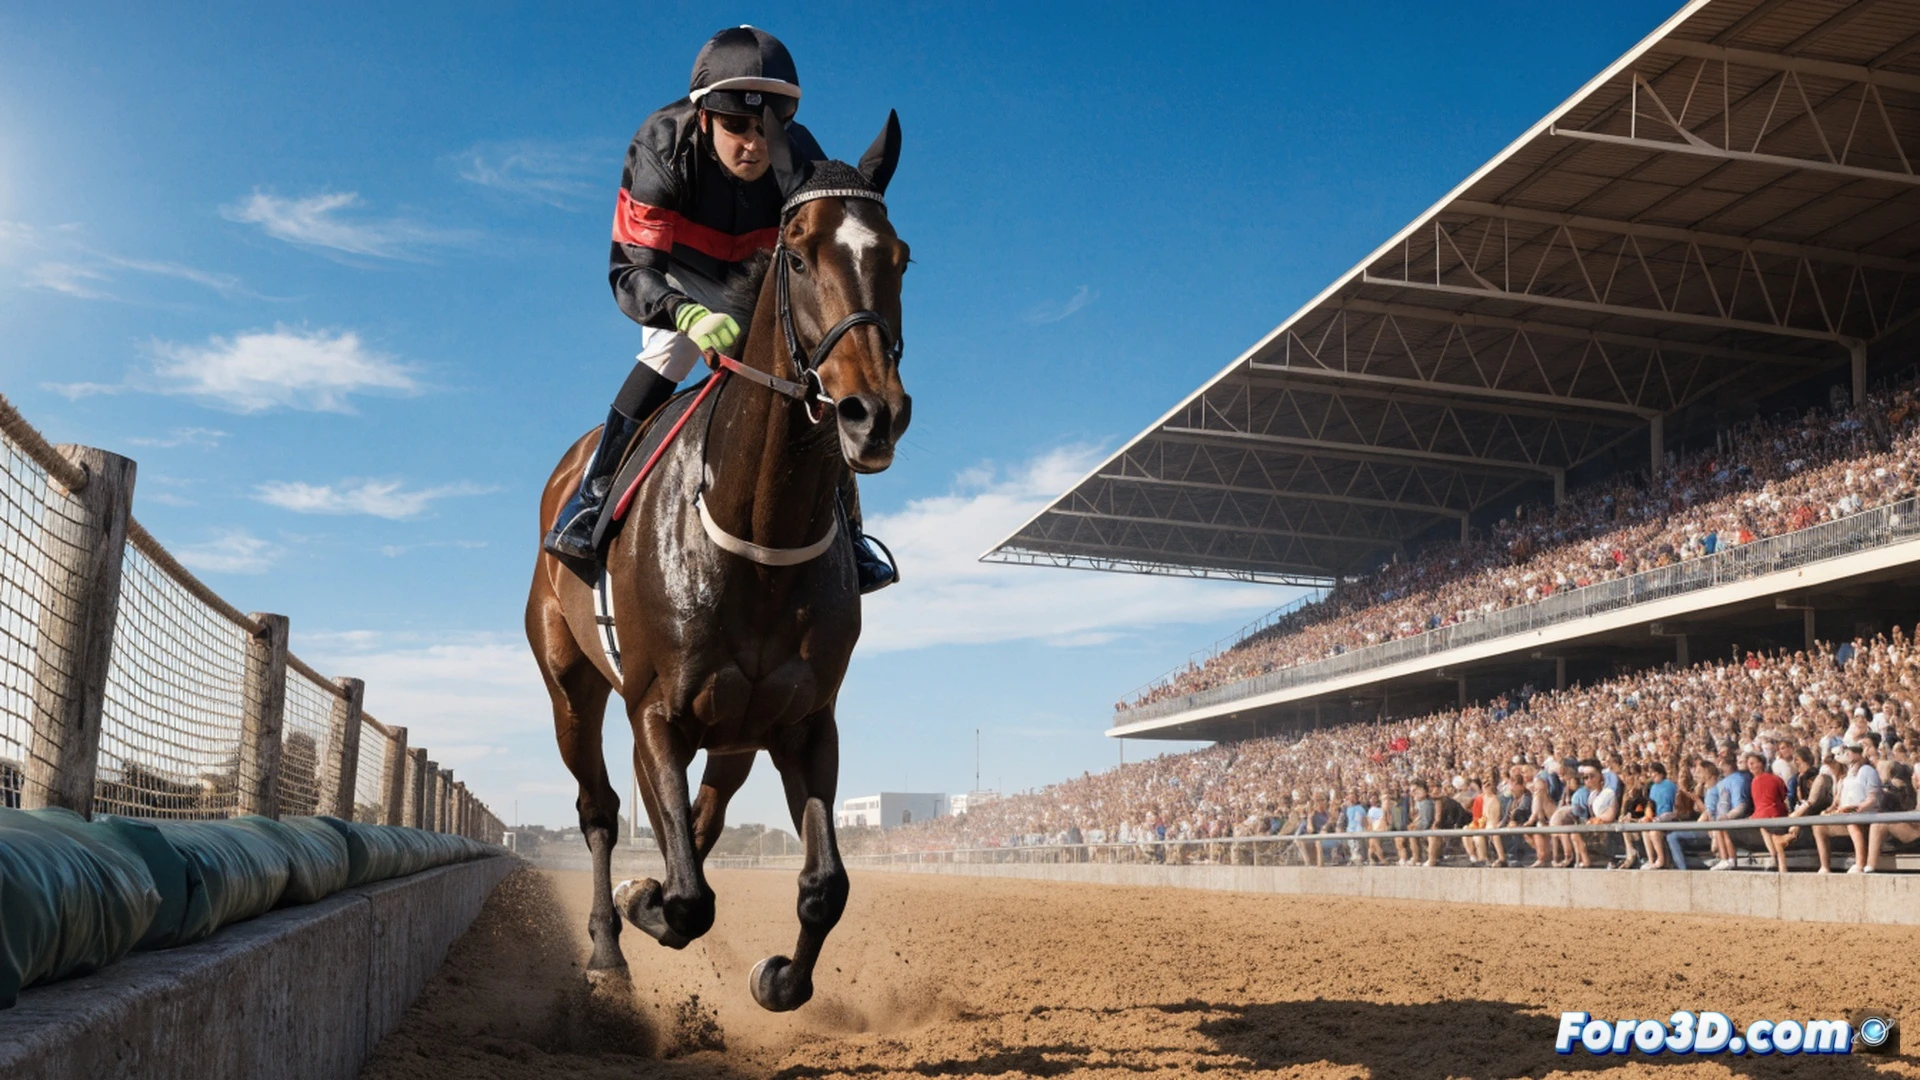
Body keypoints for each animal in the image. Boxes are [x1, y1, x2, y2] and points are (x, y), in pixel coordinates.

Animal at [525, 112, 908, 1013]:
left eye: (901, 256)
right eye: (797, 254)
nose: (872, 413)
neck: (757, 535)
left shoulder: (806, 719)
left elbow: (823, 885)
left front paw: (779, 979)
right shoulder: (655, 711)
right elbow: (687, 895)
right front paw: (643, 903)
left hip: (738, 729)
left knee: (704, 814)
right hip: (572, 684)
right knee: (600, 809)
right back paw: (609, 944)